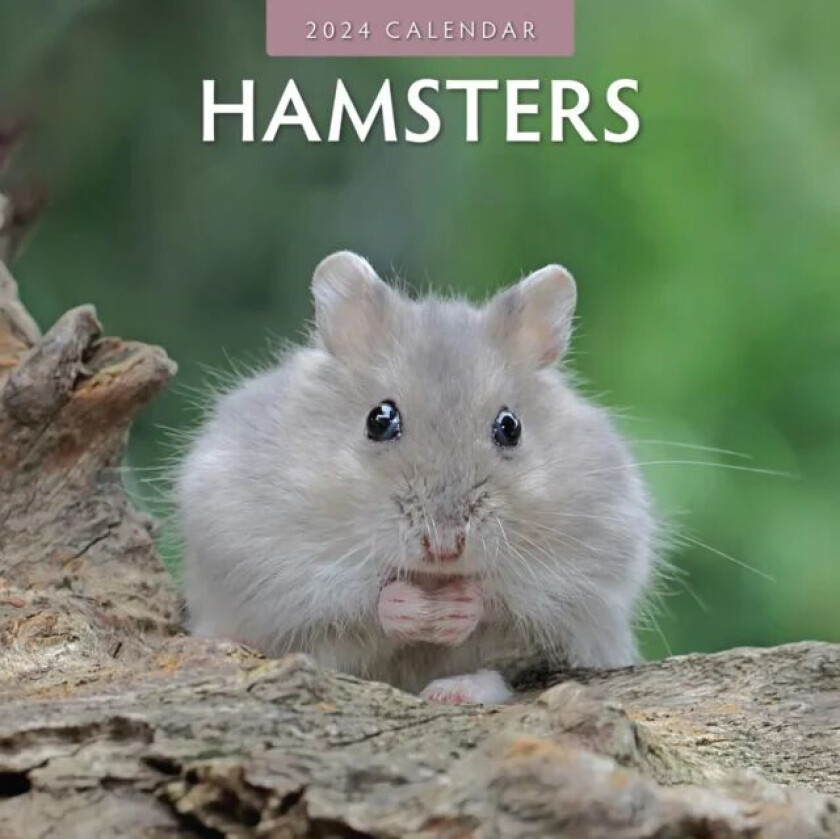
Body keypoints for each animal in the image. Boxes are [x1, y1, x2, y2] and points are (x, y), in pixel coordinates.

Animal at [177, 251, 654, 705]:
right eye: (379, 419)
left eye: (510, 427)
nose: (444, 547)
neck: (431, 579)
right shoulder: (263, 552)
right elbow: (360, 598)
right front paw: (414, 609)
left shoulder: (595, 559)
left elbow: (500, 599)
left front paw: (452, 609)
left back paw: (456, 690)